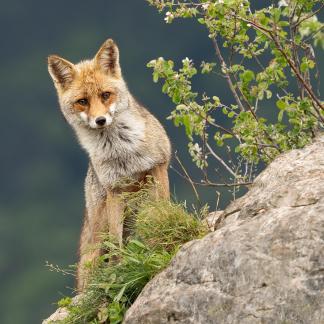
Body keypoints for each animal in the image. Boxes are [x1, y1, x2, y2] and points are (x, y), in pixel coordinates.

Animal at [47, 39, 171, 290]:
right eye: (82, 102)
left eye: (105, 95)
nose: (100, 120)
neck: (123, 152)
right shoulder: (115, 189)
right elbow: (116, 244)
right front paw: (119, 271)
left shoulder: (158, 166)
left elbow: (162, 211)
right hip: (99, 235)